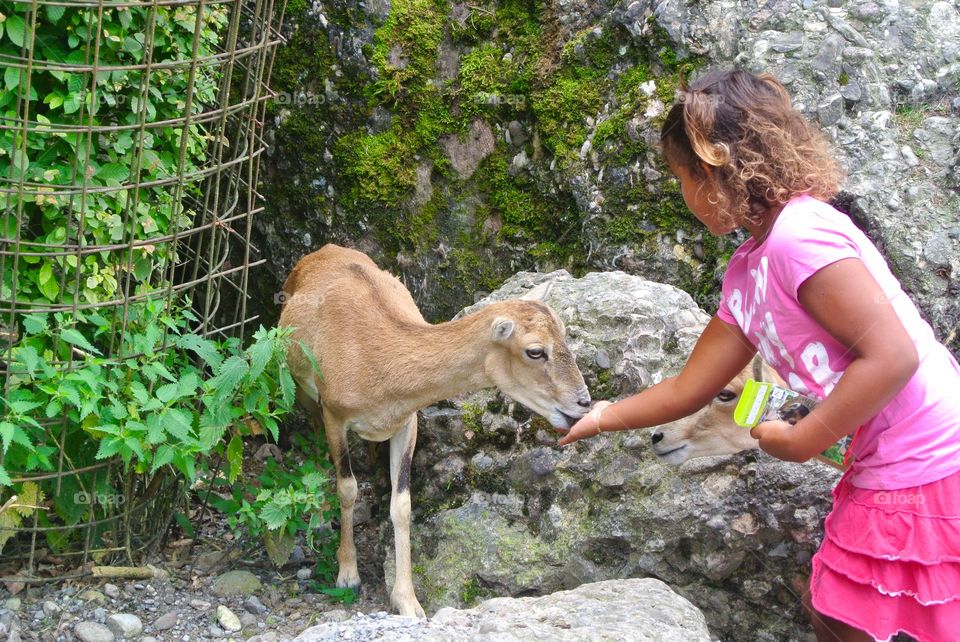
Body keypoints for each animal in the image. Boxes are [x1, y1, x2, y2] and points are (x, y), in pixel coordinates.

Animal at [278, 245, 592, 616]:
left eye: (565, 336)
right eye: (535, 350)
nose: (583, 402)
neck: (377, 362)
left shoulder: (406, 422)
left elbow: (402, 505)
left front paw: (408, 601)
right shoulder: (334, 414)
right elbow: (347, 488)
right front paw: (348, 574)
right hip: (301, 389)